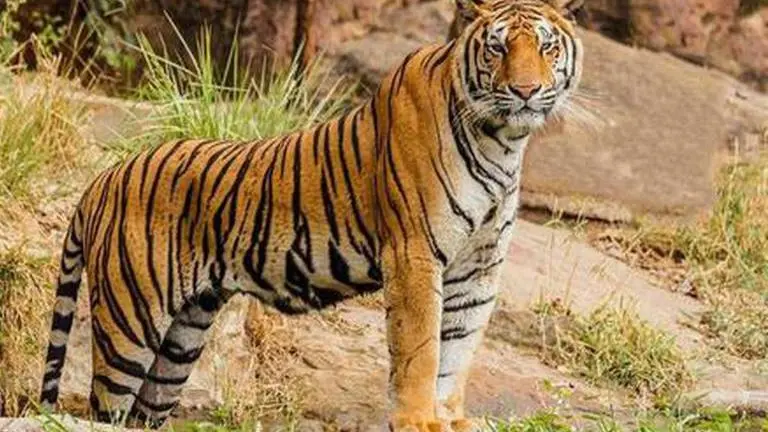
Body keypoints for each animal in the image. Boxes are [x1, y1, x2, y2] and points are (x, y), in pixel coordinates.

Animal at [39, 0, 583, 430]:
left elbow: (458, 351)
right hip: (129, 323)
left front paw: (448, 419)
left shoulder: (479, 269)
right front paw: (417, 421)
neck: (503, 141)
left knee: (143, 411)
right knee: (104, 407)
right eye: (497, 49)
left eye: (546, 48)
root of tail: (103, 179)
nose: (525, 91)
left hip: (181, 339)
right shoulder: (414, 254)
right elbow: (422, 350)